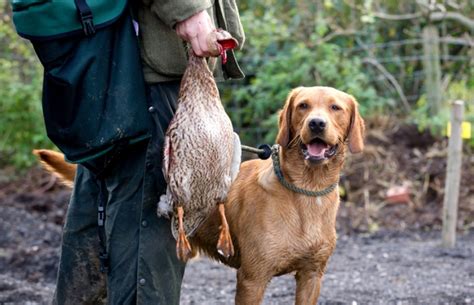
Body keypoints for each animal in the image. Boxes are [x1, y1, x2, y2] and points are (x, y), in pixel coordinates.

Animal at [35, 85, 364, 304]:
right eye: (303, 106)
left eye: (335, 108)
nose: (316, 123)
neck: (306, 191)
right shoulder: (252, 278)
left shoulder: (311, 276)